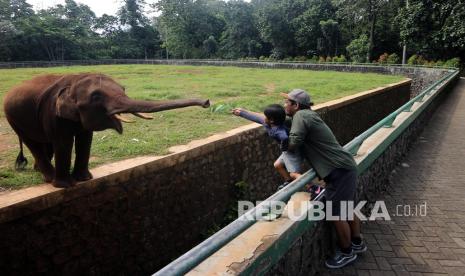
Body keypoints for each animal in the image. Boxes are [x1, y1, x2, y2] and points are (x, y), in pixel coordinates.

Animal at [2, 73, 209, 188]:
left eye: (123, 88)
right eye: (96, 96)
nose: (206, 102)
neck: (73, 80)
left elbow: (85, 139)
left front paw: (85, 179)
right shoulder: (53, 114)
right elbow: (63, 142)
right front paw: (66, 186)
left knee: (45, 144)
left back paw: (41, 172)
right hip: (14, 118)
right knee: (34, 143)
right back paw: (50, 178)